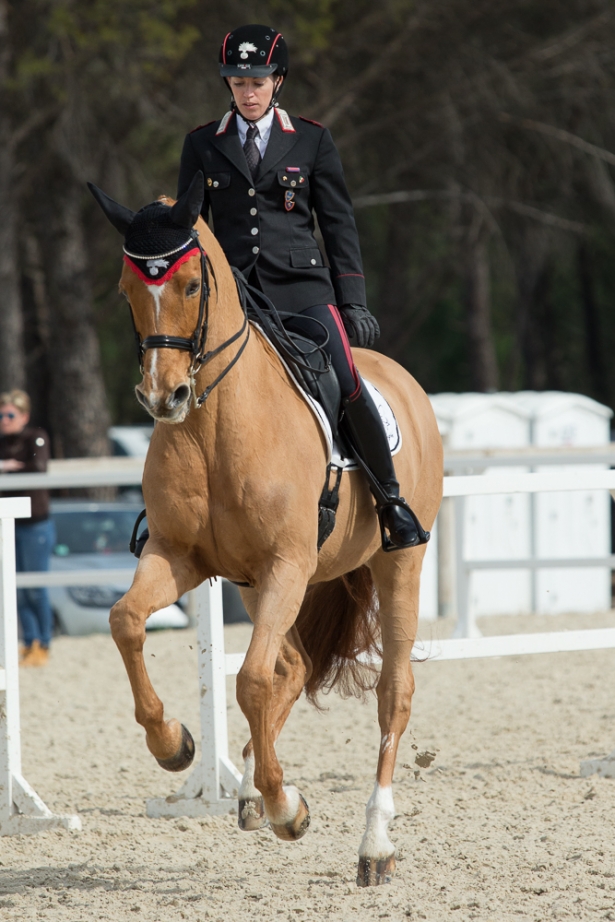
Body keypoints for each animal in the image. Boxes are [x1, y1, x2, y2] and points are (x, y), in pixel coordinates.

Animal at [89, 172, 442, 884]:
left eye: (189, 286)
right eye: (126, 290)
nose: (162, 397)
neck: (212, 424)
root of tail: (399, 377)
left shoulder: (287, 565)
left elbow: (250, 679)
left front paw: (289, 808)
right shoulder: (180, 557)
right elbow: (127, 621)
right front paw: (174, 744)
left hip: (397, 563)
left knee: (391, 691)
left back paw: (374, 845)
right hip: (254, 584)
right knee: (294, 663)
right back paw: (254, 787)